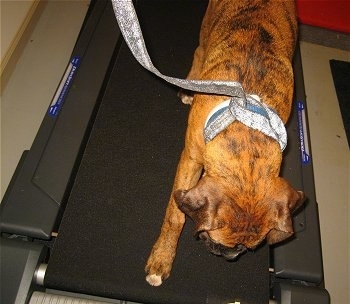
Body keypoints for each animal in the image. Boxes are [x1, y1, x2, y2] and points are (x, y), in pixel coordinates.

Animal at [145, 0, 304, 286]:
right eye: (218, 240)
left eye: (247, 247)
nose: (229, 256)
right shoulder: (190, 159)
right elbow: (175, 216)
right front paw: (162, 257)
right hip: (206, 29)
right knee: (199, 51)